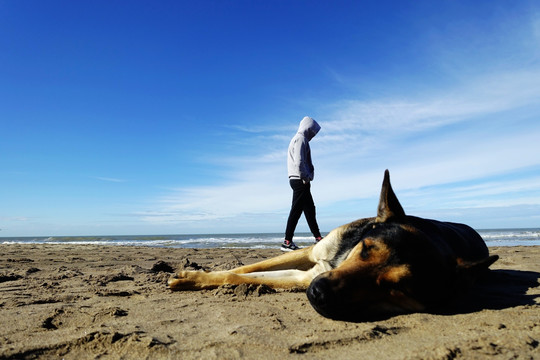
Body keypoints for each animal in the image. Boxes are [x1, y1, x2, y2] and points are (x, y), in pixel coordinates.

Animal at [169, 170, 498, 320]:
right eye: (365, 248)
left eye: (398, 288)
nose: (318, 292)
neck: (339, 258)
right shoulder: (310, 252)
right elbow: (250, 265)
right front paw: (192, 272)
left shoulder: (303, 276)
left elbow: (236, 275)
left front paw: (190, 279)